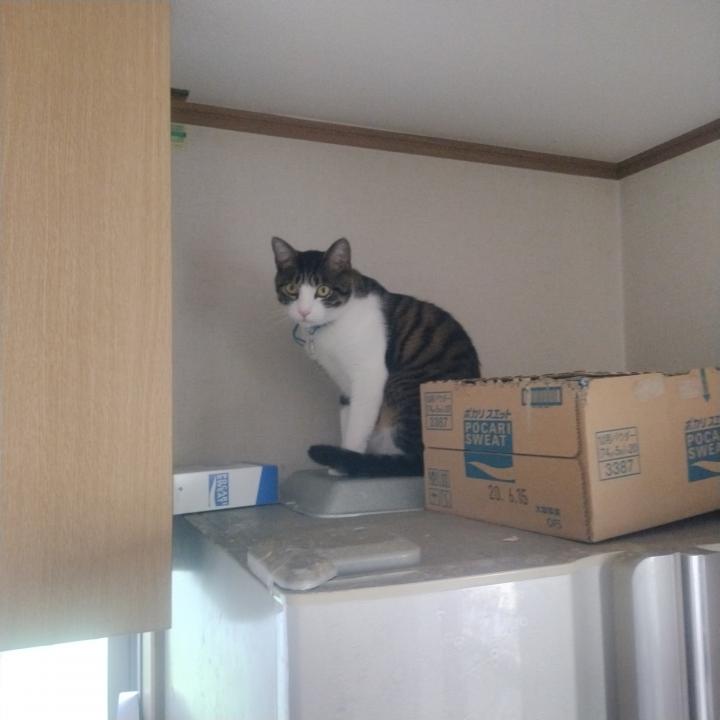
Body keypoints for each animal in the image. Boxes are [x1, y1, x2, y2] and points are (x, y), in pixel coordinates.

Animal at [272, 236, 480, 477]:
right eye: (292, 288)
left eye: (323, 290)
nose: (303, 311)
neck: (332, 326)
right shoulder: (345, 384)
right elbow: (347, 417)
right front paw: (342, 460)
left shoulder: (369, 375)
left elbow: (358, 424)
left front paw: (346, 463)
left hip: (403, 389)